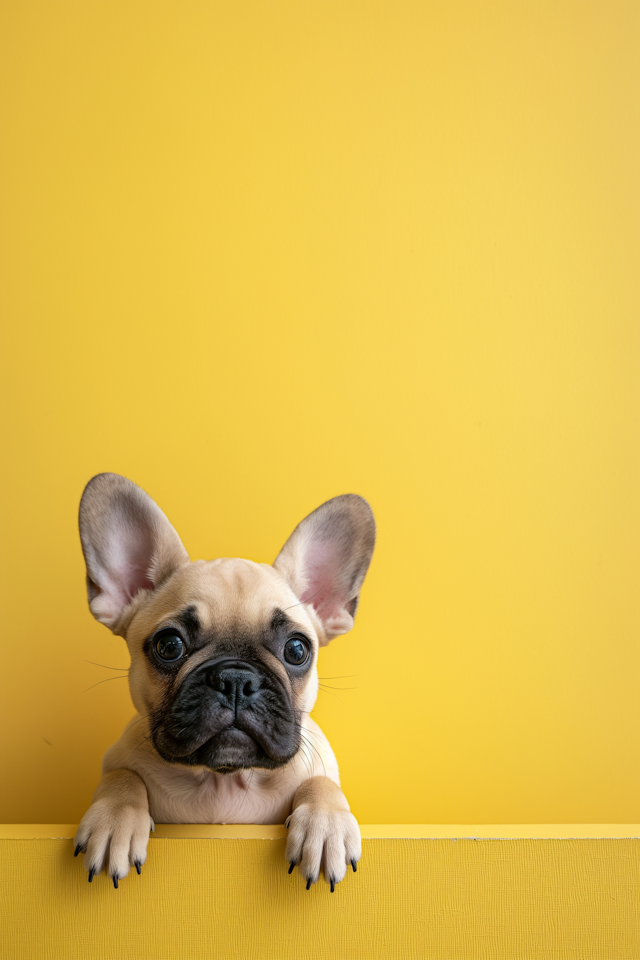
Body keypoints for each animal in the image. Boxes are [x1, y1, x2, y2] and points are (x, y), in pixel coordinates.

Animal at [74, 476, 376, 888]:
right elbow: (123, 777)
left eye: (296, 649)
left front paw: (326, 825)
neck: (225, 780)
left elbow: (322, 782)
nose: (236, 679)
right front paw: (113, 821)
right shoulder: (117, 760)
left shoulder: (320, 769)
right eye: (169, 645)